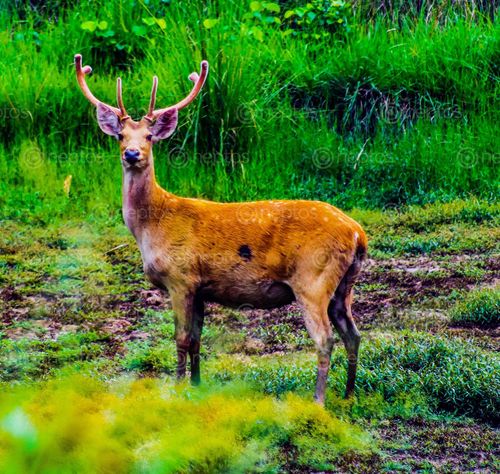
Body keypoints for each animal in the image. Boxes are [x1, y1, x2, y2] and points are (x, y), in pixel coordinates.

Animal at [73, 53, 368, 406]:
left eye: (149, 137)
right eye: (120, 136)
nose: (132, 154)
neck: (152, 226)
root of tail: (358, 233)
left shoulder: (181, 277)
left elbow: (181, 339)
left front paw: (177, 389)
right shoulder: (200, 286)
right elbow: (197, 339)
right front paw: (197, 385)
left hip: (313, 278)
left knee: (325, 339)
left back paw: (318, 401)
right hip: (344, 284)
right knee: (353, 334)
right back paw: (349, 394)